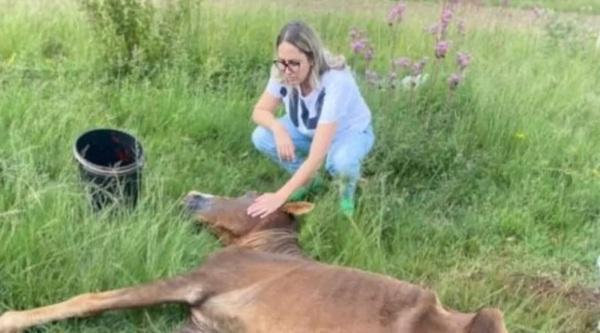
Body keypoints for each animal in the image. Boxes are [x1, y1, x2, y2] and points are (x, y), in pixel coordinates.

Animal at [0, 191, 508, 330]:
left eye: (250, 194)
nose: (192, 196)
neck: (261, 243)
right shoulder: (201, 322)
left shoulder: (199, 280)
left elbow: (90, 298)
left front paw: (11, 318)